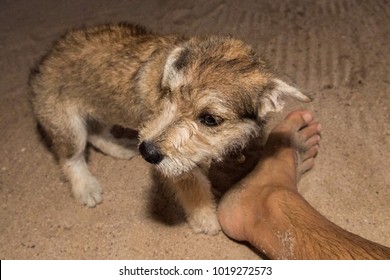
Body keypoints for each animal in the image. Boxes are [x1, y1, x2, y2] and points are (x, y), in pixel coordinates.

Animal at [29, 23, 310, 234]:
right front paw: (207, 221)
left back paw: (119, 149)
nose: (147, 152)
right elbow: (195, 192)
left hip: (103, 107)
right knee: (71, 157)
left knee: (98, 133)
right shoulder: (182, 169)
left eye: (210, 119)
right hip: (69, 126)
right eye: (169, 94)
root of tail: (44, 60)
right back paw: (86, 188)